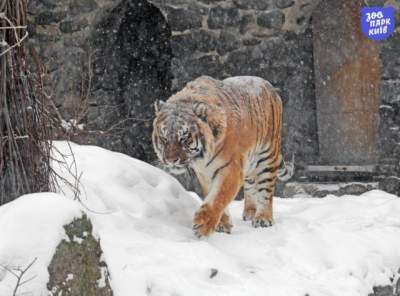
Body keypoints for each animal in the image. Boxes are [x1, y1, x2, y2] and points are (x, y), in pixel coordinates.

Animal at [152, 75, 292, 237]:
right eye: (164, 138)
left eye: (184, 138)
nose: (171, 160)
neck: (203, 157)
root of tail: (269, 86)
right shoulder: (205, 173)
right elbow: (214, 196)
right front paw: (222, 225)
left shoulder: (231, 168)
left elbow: (219, 196)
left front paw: (203, 224)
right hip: (250, 164)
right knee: (250, 186)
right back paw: (249, 213)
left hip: (267, 157)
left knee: (265, 191)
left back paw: (263, 219)